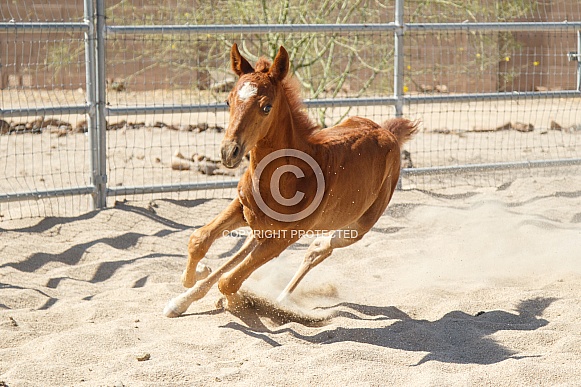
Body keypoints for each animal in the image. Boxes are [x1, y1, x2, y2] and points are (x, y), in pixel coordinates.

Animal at [163, 44, 416, 318]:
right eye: (227, 101)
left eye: (266, 107)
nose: (229, 152)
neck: (284, 178)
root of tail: (388, 132)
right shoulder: (242, 207)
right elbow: (199, 240)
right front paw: (195, 279)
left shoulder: (287, 236)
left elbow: (229, 281)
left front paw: (239, 302)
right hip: (262, 227)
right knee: (250, 250)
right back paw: (186, 300)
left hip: (358, 226)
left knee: (319, 248)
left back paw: (282, 300)